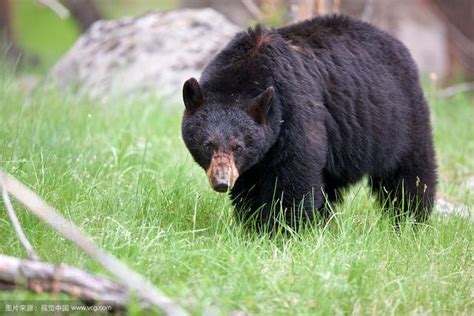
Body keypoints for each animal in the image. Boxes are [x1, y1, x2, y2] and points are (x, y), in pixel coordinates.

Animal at [181, 14, 436, 228]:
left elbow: (294, 176)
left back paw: (411, 220)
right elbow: (249, 187)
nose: (222, 182)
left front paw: (283, 229)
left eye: (238, 146)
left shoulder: (295, 111)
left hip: (400, 119)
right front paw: (253, 224)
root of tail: (396, 42)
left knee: (410, 173)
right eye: (208, 145)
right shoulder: (254, 159)